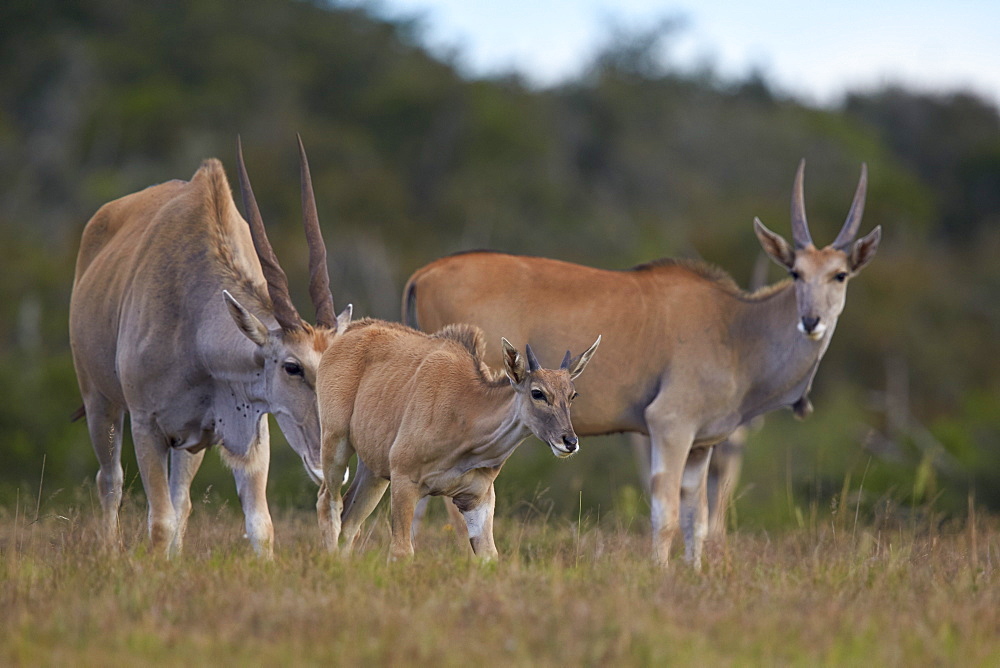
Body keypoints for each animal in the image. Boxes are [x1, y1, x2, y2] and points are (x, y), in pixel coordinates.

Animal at [316, 320, 596, 560]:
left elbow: (489, 556)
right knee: (328, 502)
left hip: (374, 472)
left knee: (350, 520)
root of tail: (348, 332)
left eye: (572, 394)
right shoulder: (405, 480)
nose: (569, 441)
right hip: (335, 441)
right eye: (537, 393)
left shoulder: (476, 498)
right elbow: (401, 552)